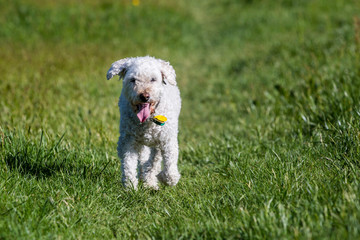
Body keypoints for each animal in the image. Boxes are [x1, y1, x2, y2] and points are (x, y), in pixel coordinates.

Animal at [106, 56, 180, 189]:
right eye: (133, 80)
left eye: (153, 79)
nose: (144, 96)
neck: (148, 119)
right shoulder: (128, 141)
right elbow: (128, 164)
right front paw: (130, 186)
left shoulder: (167, 139)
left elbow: (169, 167)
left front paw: (162, 178)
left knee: (154, 157)